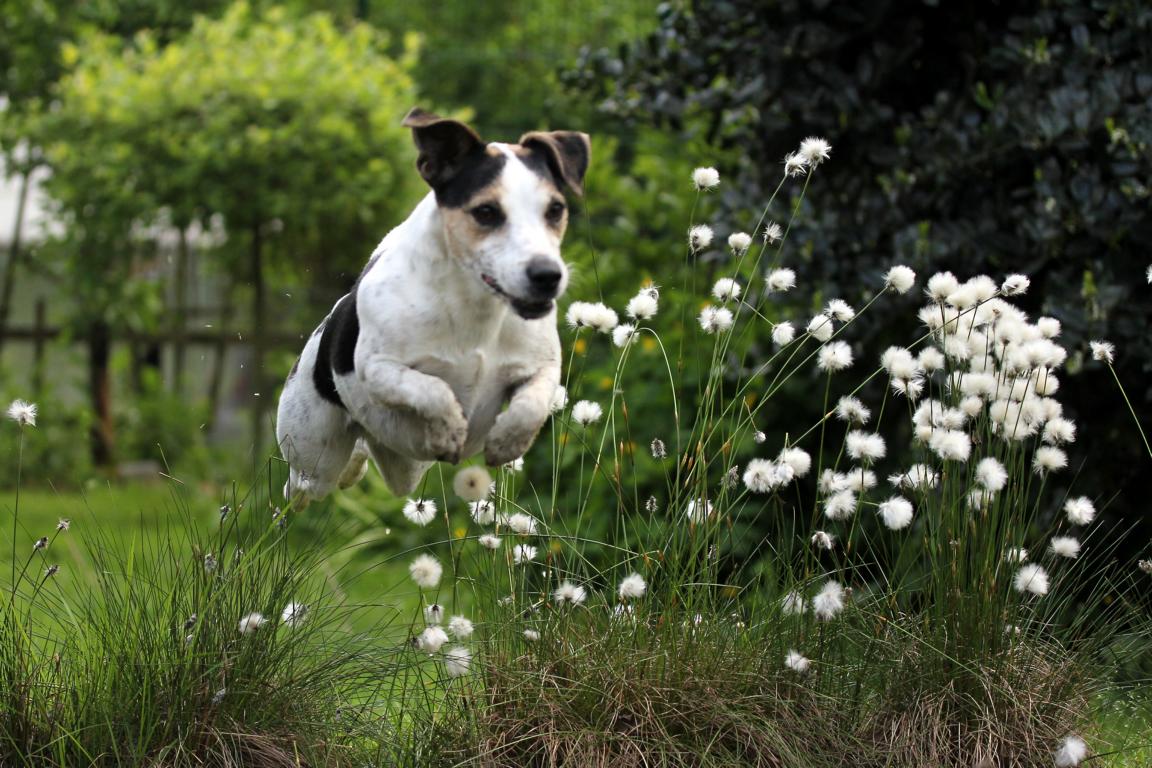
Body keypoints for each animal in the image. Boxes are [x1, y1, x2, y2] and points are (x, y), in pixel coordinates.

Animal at [274, 109, 589, 504]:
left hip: (404, 464)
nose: (547, 275)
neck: (476, 308)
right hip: (313, 459)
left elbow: (530, 406)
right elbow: (432, 389)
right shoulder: (379, 369)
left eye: (556, 209)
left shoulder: (543, 367)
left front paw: (507, 441)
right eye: (486, 211)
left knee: (367, 461)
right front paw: (450, 428)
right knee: (301, 485)